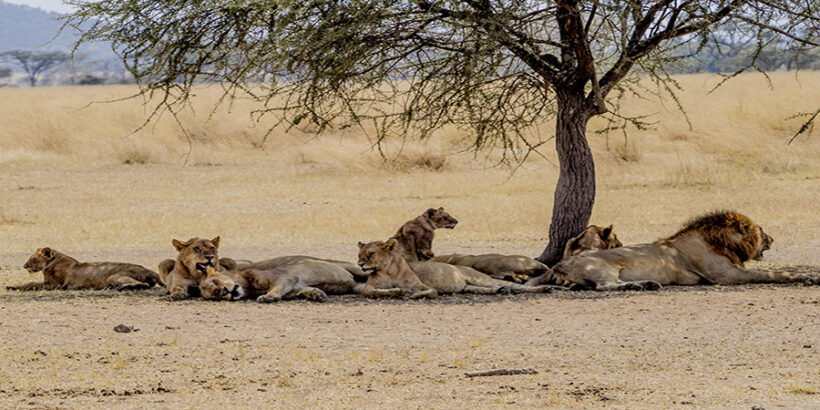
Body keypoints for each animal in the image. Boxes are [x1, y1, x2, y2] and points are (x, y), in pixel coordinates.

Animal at [7, 247, 161, 291]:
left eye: (33, 259)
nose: (24, 266)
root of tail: (152, 272)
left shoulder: (53, 284)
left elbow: (30, 284)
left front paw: (11, 286)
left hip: (114, 276)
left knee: (143, 284)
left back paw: (124, 288)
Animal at [357, 239, 556, 299]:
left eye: (371, 253)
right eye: (359, 255)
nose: (360, 264)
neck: (388, 270)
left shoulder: (423, 286)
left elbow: (430, 292)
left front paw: (412, 295)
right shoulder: (370, 288)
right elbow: (373, 292)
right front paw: (398, 291)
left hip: (480, 279)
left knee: (517, 286)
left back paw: (543, 288)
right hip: (470, 287)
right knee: (492, 288)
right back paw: (502, 290)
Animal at [551, 211, 820, 291]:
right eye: (762, 231)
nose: (772, 239)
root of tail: (560, 264)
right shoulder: (726, 276)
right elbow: (773, 274)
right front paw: (808, 277)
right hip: (604, 267)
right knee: (605, 286)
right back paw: (643, 285)